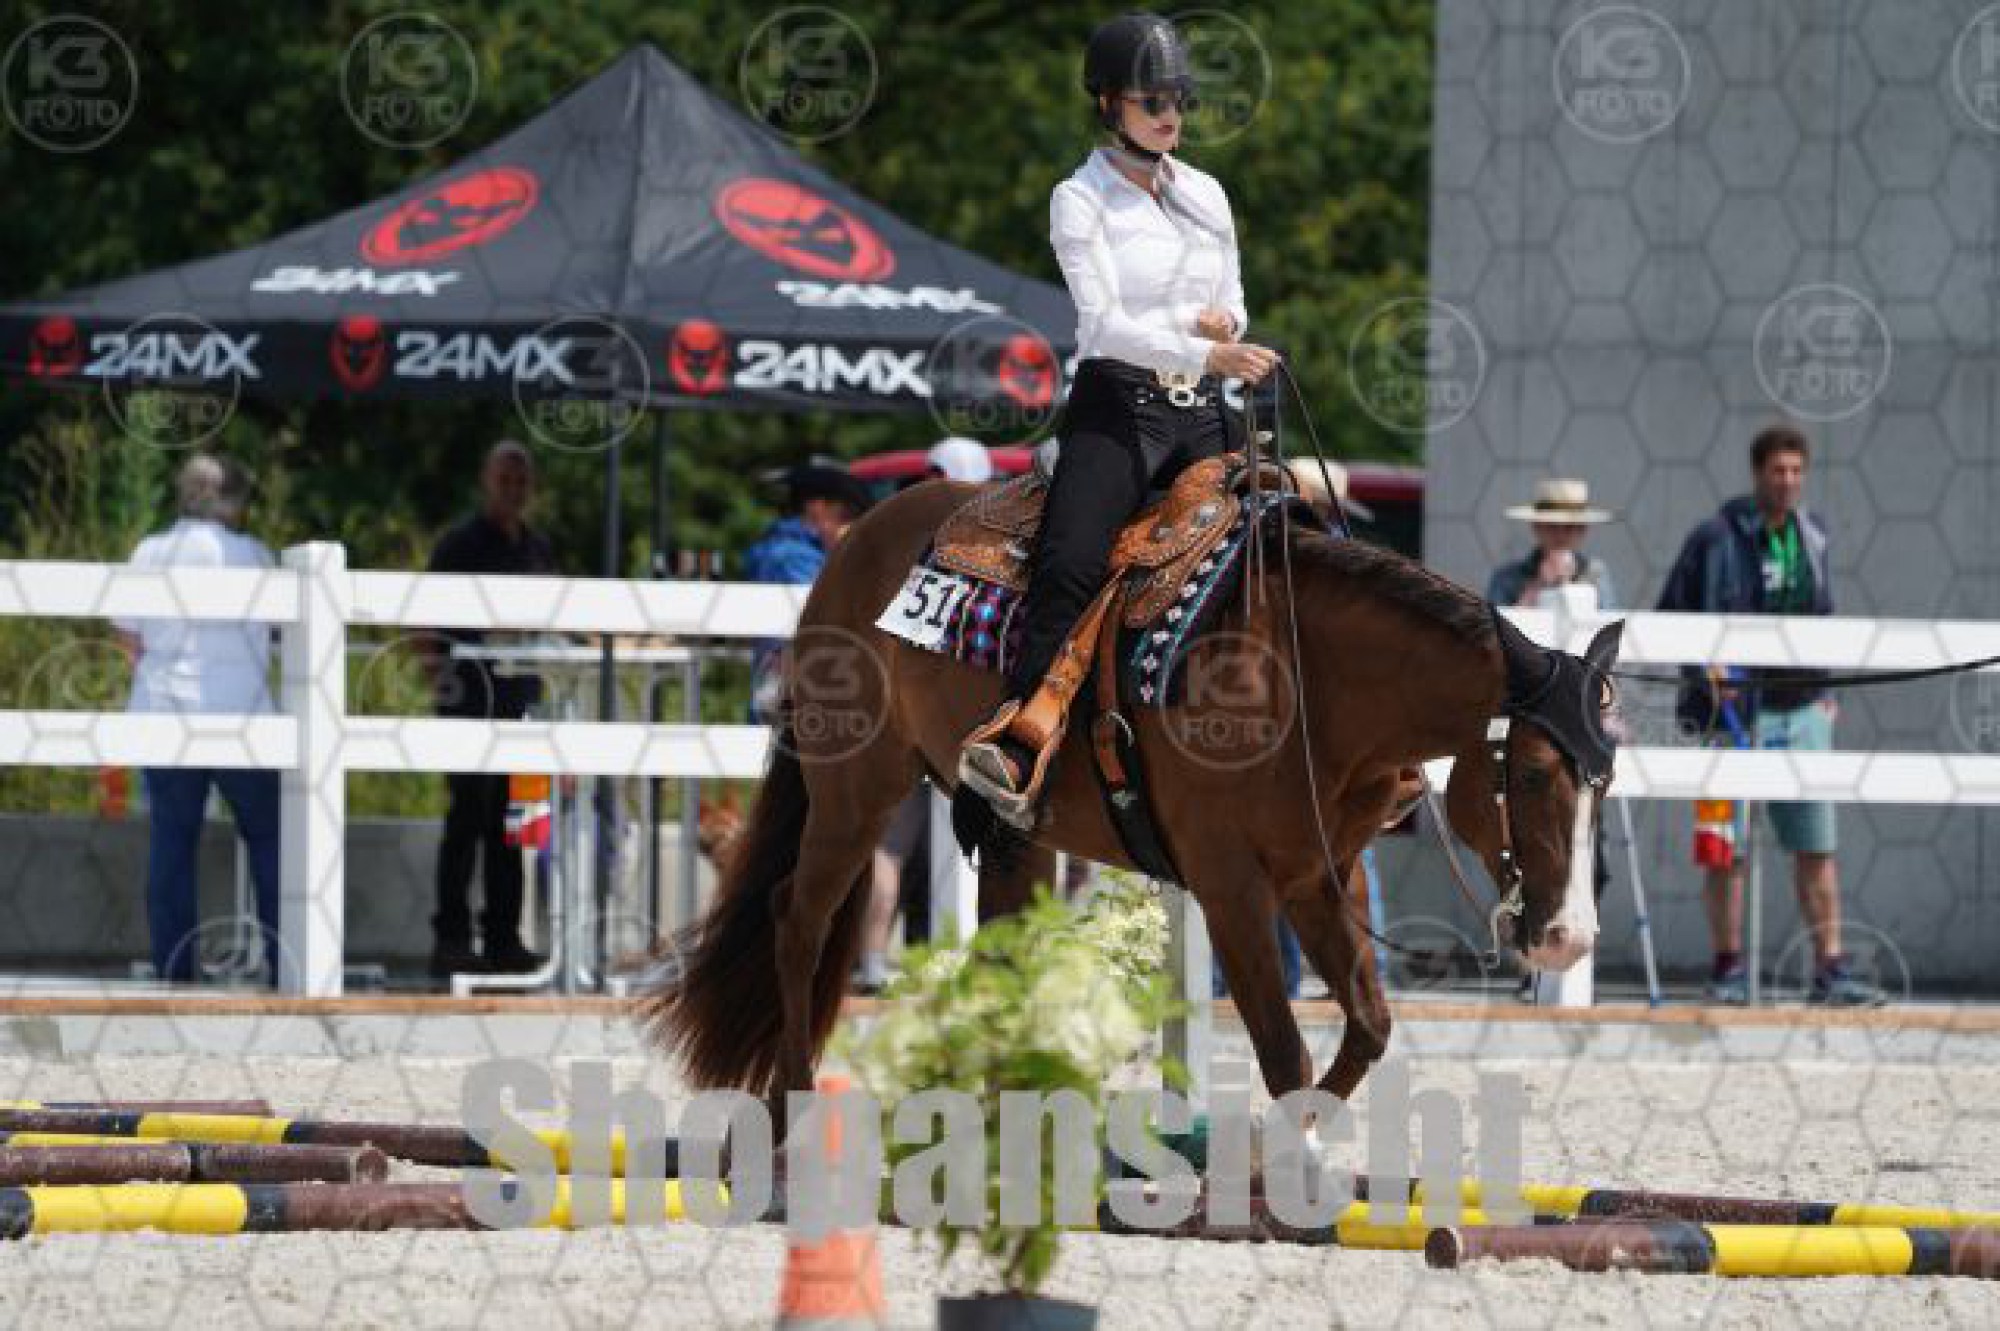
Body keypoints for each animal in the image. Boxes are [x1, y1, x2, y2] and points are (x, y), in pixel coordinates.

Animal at [640, 473, 1624, 1124]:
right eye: (1532, 774)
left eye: (1604, 777)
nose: (1569, 937)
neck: (1311, 671)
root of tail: (856, 538)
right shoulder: (1231, 883)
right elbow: (1282, 1047)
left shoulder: (1320, 872)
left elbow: (1368, 1027)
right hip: (855, 787)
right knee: (797, 920)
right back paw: (794, 1108)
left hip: (1010, 833)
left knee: (996, 948)